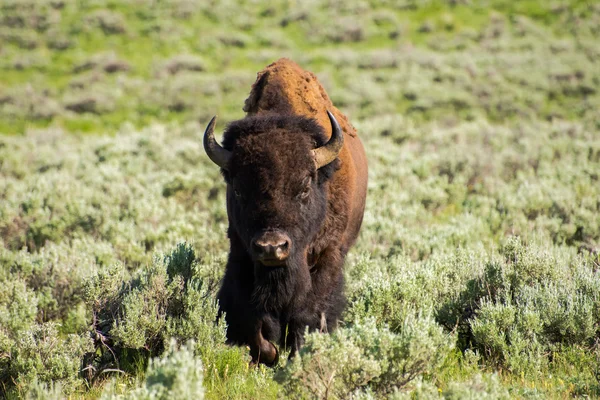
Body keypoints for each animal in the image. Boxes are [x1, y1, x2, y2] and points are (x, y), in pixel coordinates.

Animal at [204, 58, 368, 366]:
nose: (272, 247)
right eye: (239, 190)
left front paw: (296, 354)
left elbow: (306, 314)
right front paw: (269, 352)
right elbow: (252, 316)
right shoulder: (242, 252)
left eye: (304, 186)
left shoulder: (326, 256)